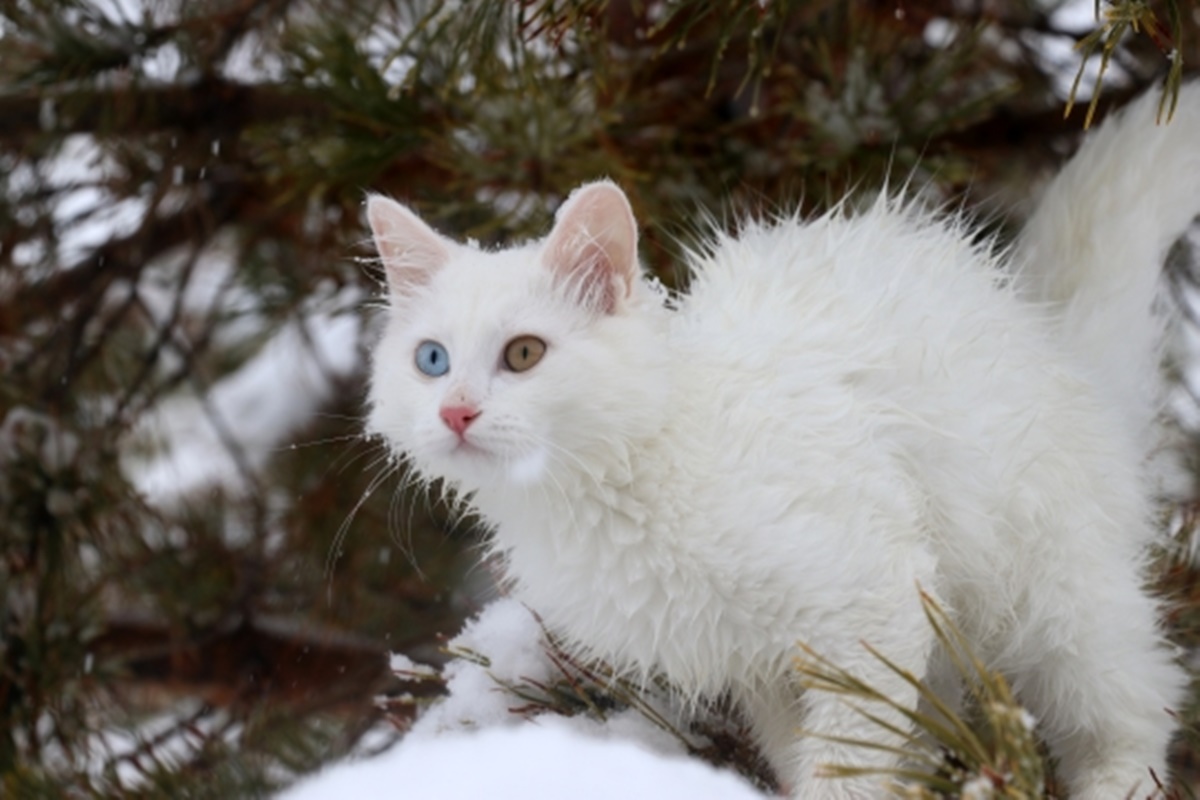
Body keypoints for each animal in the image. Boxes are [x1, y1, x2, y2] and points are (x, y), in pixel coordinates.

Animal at [364, 84, 1200, 796]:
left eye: (524, 355)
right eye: (431, 360)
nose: (456, 413)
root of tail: (1050, 339)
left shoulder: (872, 605)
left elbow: (847, 766)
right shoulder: (760, 668)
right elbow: (807, 756)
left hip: (1052, 594)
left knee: (1137, 699)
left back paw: (1115, 780)